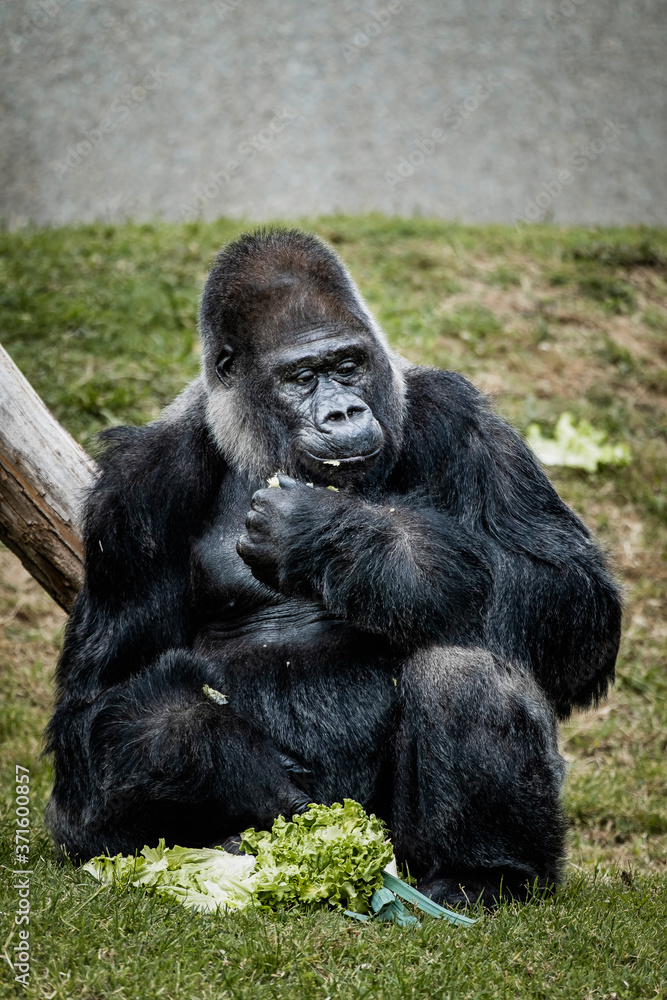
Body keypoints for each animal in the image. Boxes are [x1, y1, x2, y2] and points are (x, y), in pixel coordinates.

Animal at [44, 225, 624, 908]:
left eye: (348, 366)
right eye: (302, 377)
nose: (344, 412)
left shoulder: (459, 414)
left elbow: (571, 595)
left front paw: (335, 538)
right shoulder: (132, 491)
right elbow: (95, 704)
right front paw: (218, 753)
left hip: (402, 858)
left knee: (466, 668)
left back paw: (483, 872)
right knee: (83, 807)